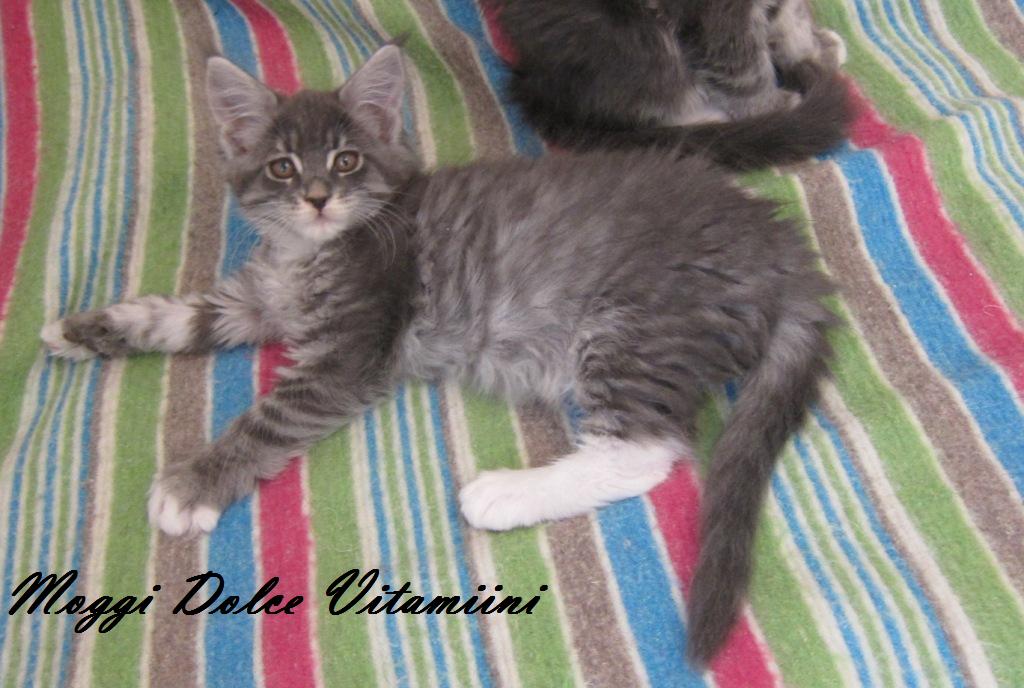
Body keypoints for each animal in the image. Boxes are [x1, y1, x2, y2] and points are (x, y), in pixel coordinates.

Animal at [41, 46, 835, 666]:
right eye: (283, 168)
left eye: (346, 161)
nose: (319, 198)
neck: (312, 252)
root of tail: (777, 244)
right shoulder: (257, 299)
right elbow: (180, 315)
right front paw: (85, 330)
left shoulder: (351, 353)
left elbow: (267, 420)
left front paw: (194, 484)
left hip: (636, 326)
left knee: (646, 450)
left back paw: (504, 494)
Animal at [495, 0, 852, 168]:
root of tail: (535, 81)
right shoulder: (714, 12)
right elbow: (743, 67)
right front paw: (776, 111)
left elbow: (791, 15)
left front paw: (815, 50)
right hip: (631, 39)